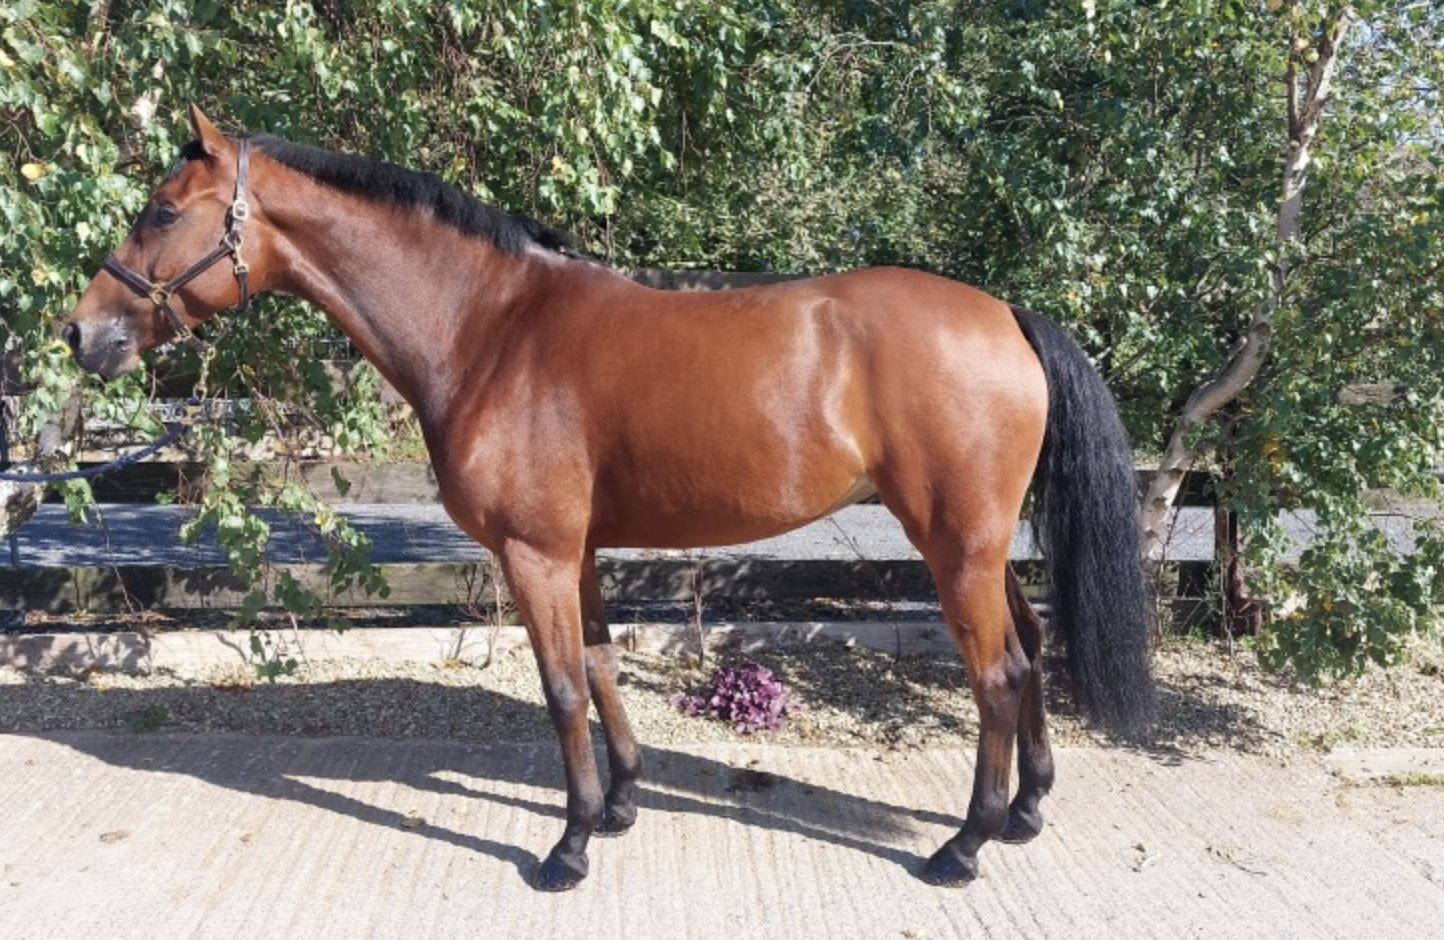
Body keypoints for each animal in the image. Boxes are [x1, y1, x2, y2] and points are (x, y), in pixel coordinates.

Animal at [62, 105, 1155, 891]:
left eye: (162, 210)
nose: (80, 333)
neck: (489, 328)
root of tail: (1006, 315)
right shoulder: (575, 551)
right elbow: (596, 665)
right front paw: (623, 804)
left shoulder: (532, 552)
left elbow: (557, 689)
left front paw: (570, 844)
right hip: (978, 541)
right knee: (1030, 646)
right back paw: (1025, 812)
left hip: (952, 543)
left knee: (997, 674)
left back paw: (964, 845)